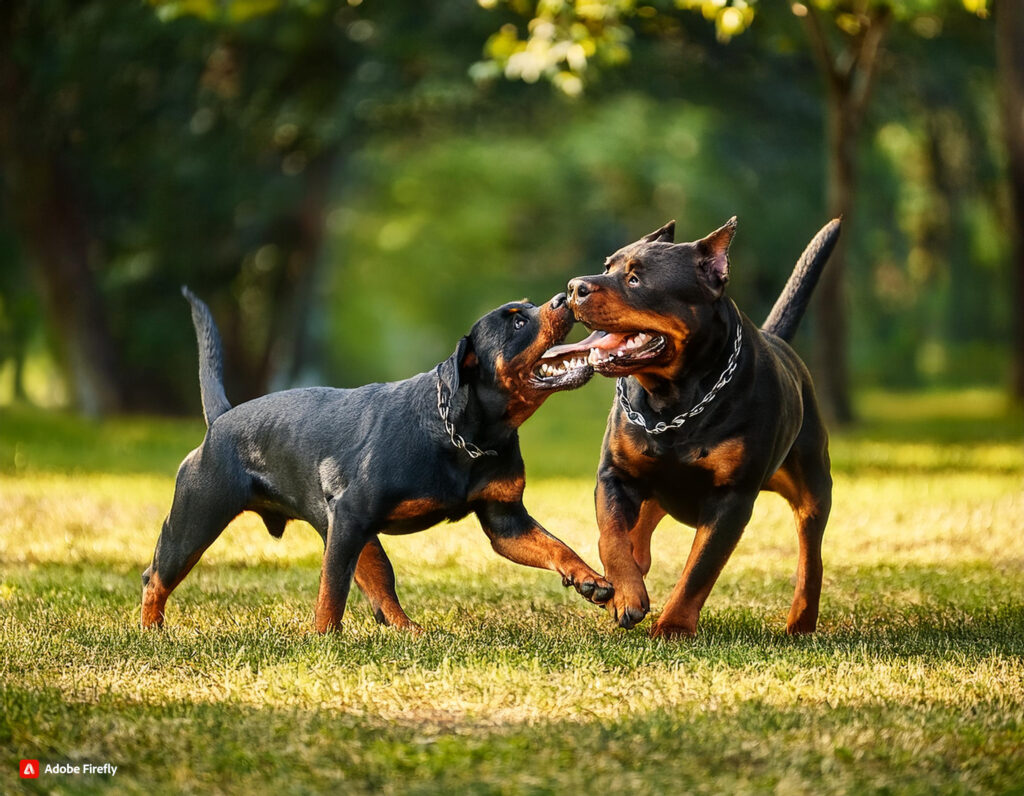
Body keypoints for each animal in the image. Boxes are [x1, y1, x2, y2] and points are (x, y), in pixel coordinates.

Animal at [140, 288, 610, 631]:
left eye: (530, 307)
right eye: (517, 321)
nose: (564, 296)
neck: (466, 435)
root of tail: (221, 419)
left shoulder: (504, 519)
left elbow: (554, 544)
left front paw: (590, 578)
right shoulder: (352, 513)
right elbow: (331, 592)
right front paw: (323, 639)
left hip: (353, 538)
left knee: (381, 591)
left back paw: (410, 631)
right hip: (196, 521)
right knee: (156, 576)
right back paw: (151, 629)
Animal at [544, 214, 839, 635]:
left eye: (636, 279)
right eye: (608, 266)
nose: (574, 287)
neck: (673, 399)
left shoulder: (731, 498)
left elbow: (700, 568)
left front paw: (672, 626)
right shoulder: (615, 474)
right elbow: (612, 537)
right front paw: (626, 594)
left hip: (812, 488)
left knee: (810, 556)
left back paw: (801, 620)